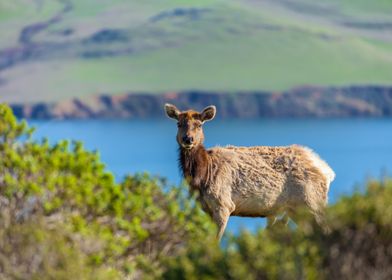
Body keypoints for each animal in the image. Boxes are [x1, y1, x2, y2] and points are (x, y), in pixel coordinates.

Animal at [164, 104, 336, 240]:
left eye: (199, 125)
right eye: (178, 124)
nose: (188, 139)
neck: (203, 176)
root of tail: (327, 171)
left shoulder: (224, 204)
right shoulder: (205, 207)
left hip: (312, 202)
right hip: (296, 209)